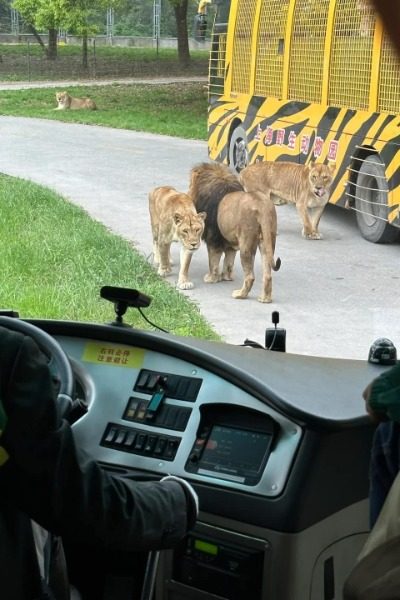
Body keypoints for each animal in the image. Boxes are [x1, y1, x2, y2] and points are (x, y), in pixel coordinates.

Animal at [188, 162, 280, 302]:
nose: (188, 193)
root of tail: (262, 207)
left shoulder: (213, 239)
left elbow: (213, 262)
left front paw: (211, 278)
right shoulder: (229, 243)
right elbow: (229, 262)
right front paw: (226, 277)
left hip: (246, 246)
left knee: (250, 276)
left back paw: (240, 294)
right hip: (267, 241)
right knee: (268, 274)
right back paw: (265, 299)